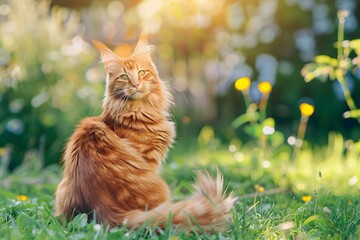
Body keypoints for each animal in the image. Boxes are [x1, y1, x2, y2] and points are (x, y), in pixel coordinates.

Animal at [52, 31, 233, 232]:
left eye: (141, 73)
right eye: (124, 77)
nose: (136, 84)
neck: (138, 110)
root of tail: (103, 207)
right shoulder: (150, 159)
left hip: (62, 189)